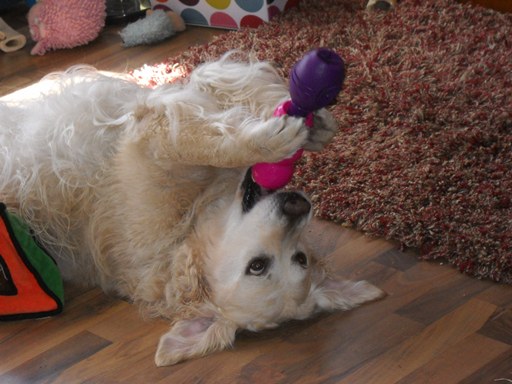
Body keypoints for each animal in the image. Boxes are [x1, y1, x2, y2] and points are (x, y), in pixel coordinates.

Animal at [0, 54, 384, 366]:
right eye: (258, 266)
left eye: (299, 258)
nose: (299, 206)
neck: (187, 226)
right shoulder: (152, 138)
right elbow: (213, 133)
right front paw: (277, 135)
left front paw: (307, 125)